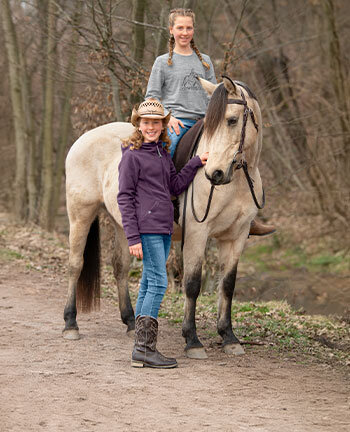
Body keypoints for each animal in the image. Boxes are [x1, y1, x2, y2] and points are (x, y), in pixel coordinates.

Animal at [63, 77, 264, 358]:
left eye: (232, 120)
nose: (214, 173)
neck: (236, 183)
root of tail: (82, 140)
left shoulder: (236, 237)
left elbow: (227, 285)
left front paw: (229, 337)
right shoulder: (197, 234)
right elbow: (192, 284)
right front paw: (192, 339)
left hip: (122, 223)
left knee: (120, 267)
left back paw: (130, 321)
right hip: (80, 215)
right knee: (75, 265)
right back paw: (71, 323)